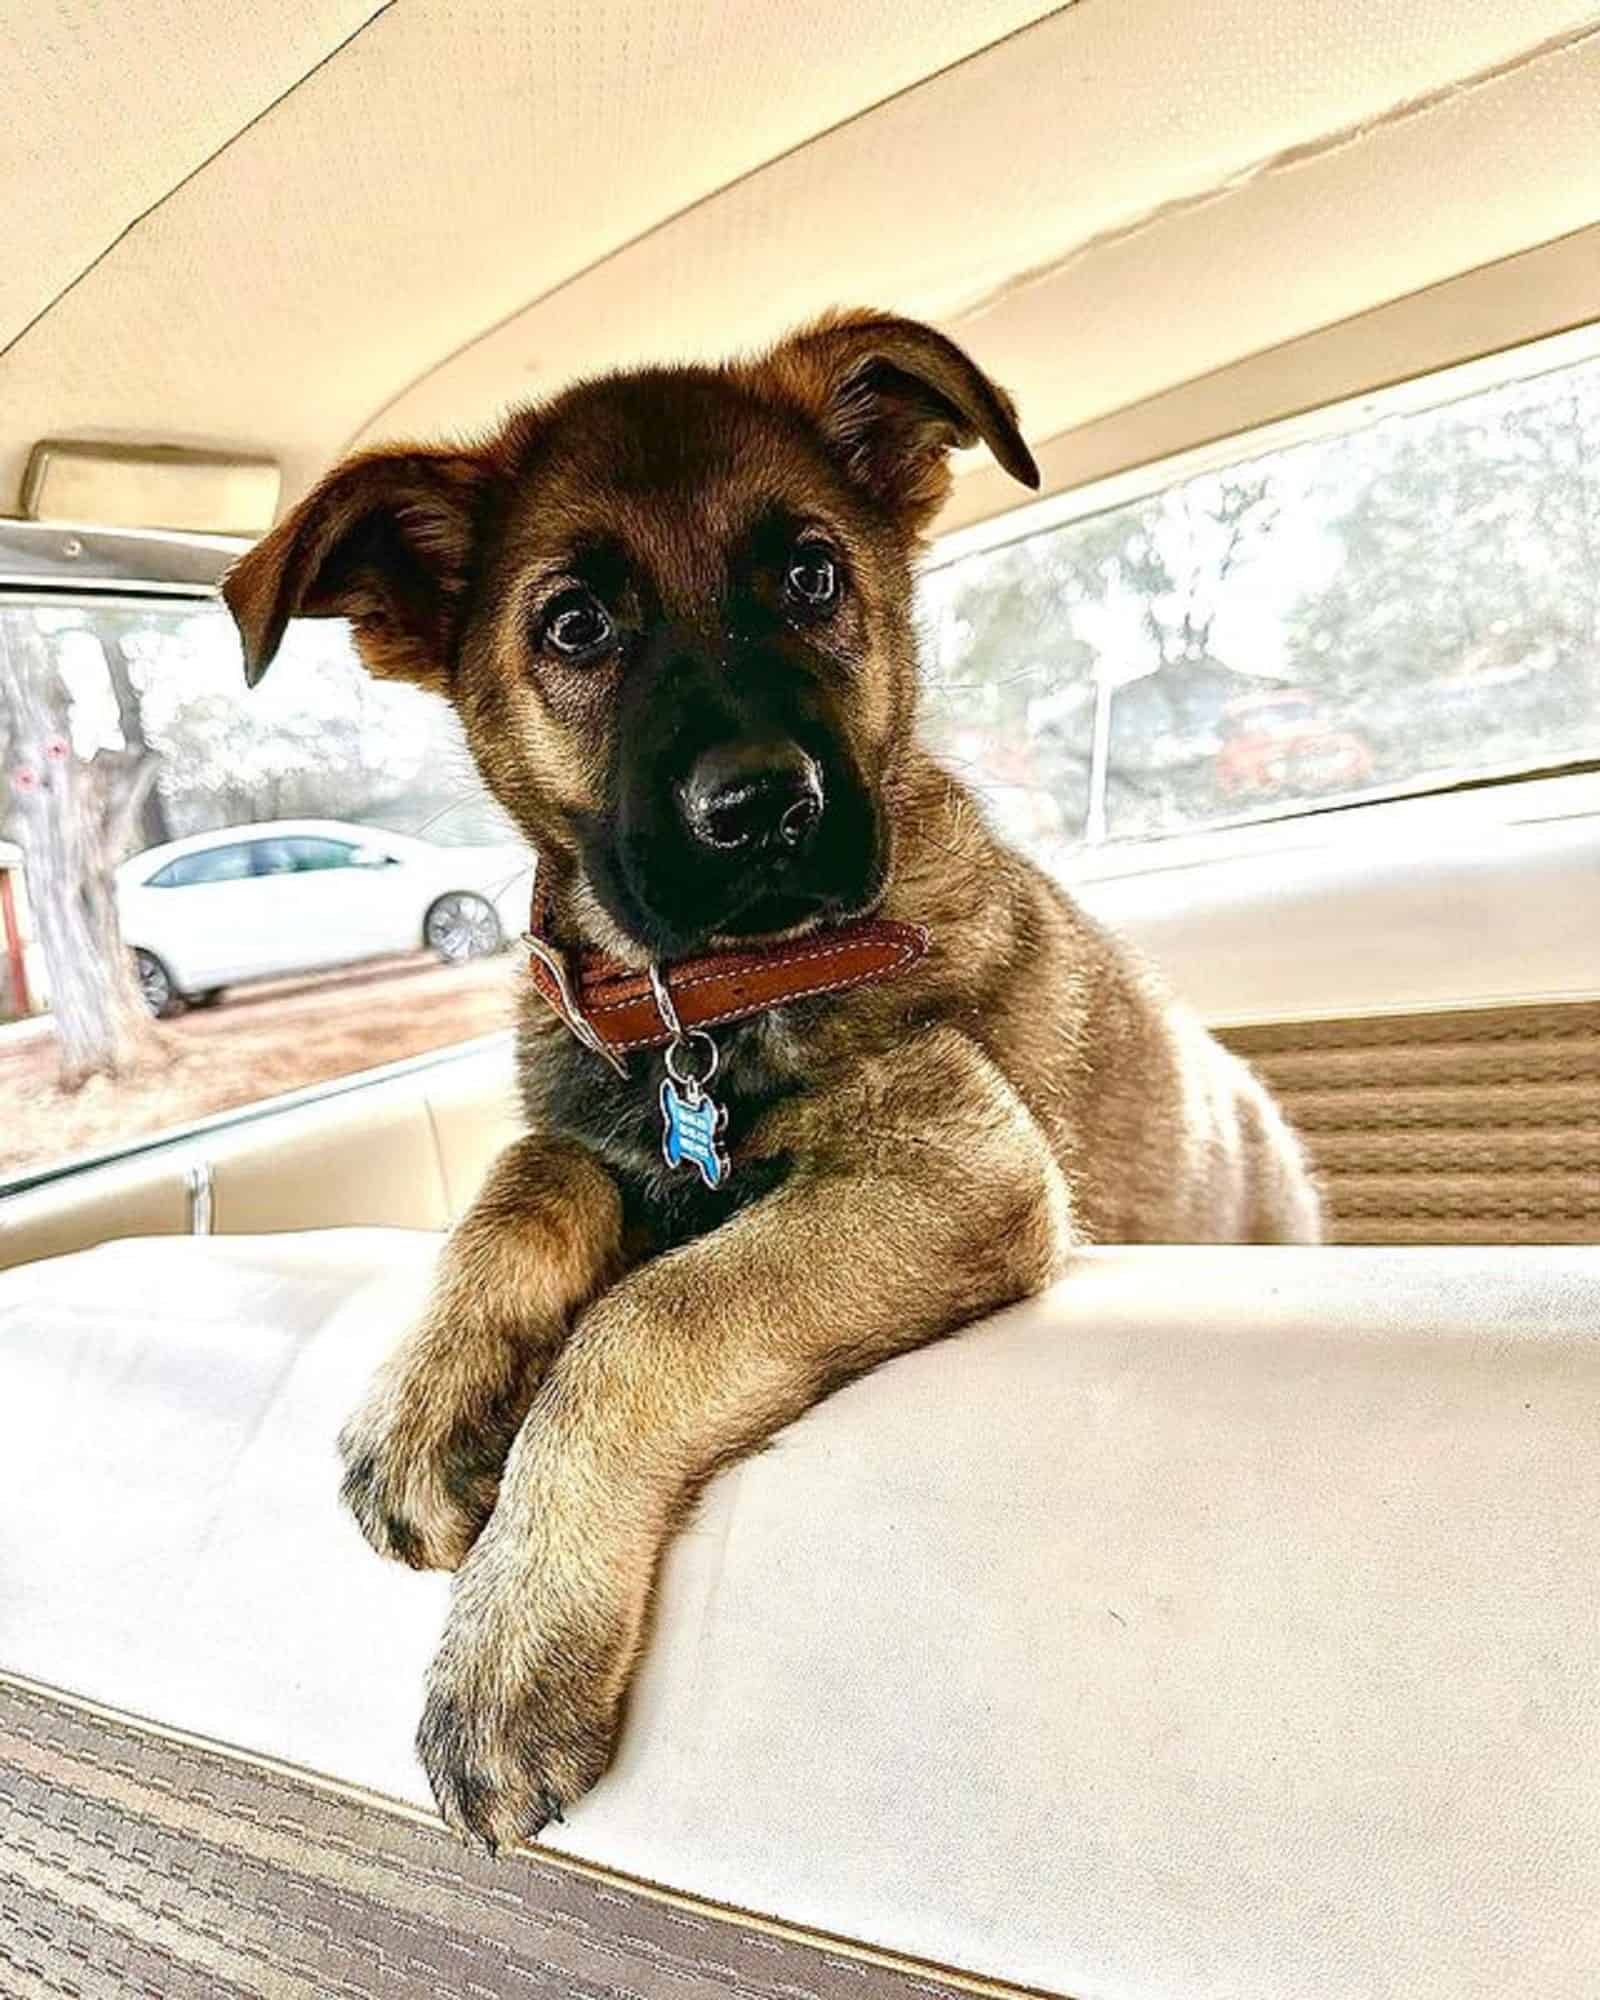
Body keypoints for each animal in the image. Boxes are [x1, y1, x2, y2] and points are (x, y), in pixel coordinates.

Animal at [228, 312, 1328, 1856]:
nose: (762, 806)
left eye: (812, 575)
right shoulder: (598, 1125)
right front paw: (425, 1402)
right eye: (575, 625)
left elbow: (644, 1321)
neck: (705, 1006)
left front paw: (510, 1643)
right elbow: (529, 1175)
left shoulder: (957, 1163)